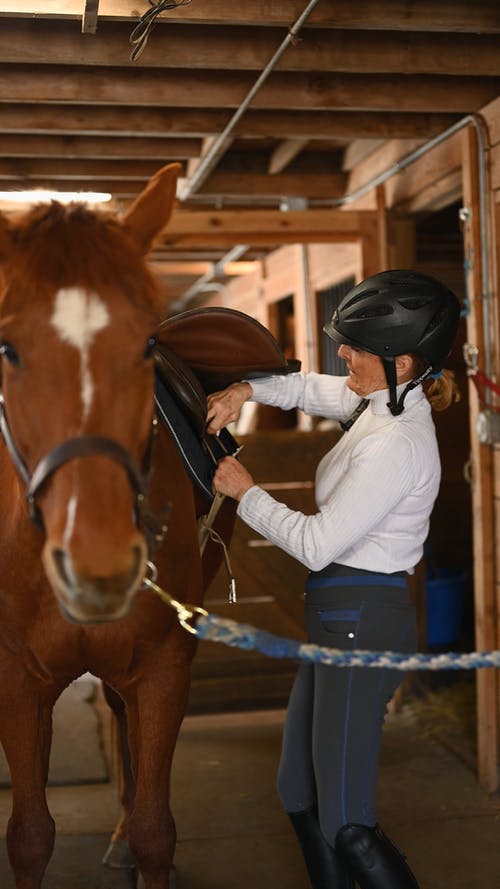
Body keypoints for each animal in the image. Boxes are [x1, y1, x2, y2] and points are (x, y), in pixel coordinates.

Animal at [0, 163, 237, 884]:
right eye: (6, 346)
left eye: (148, 343)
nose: (98, 562)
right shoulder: (16, 679)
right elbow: (29, 835)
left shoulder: (164, 665)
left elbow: (157, 831)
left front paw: (136, 836)